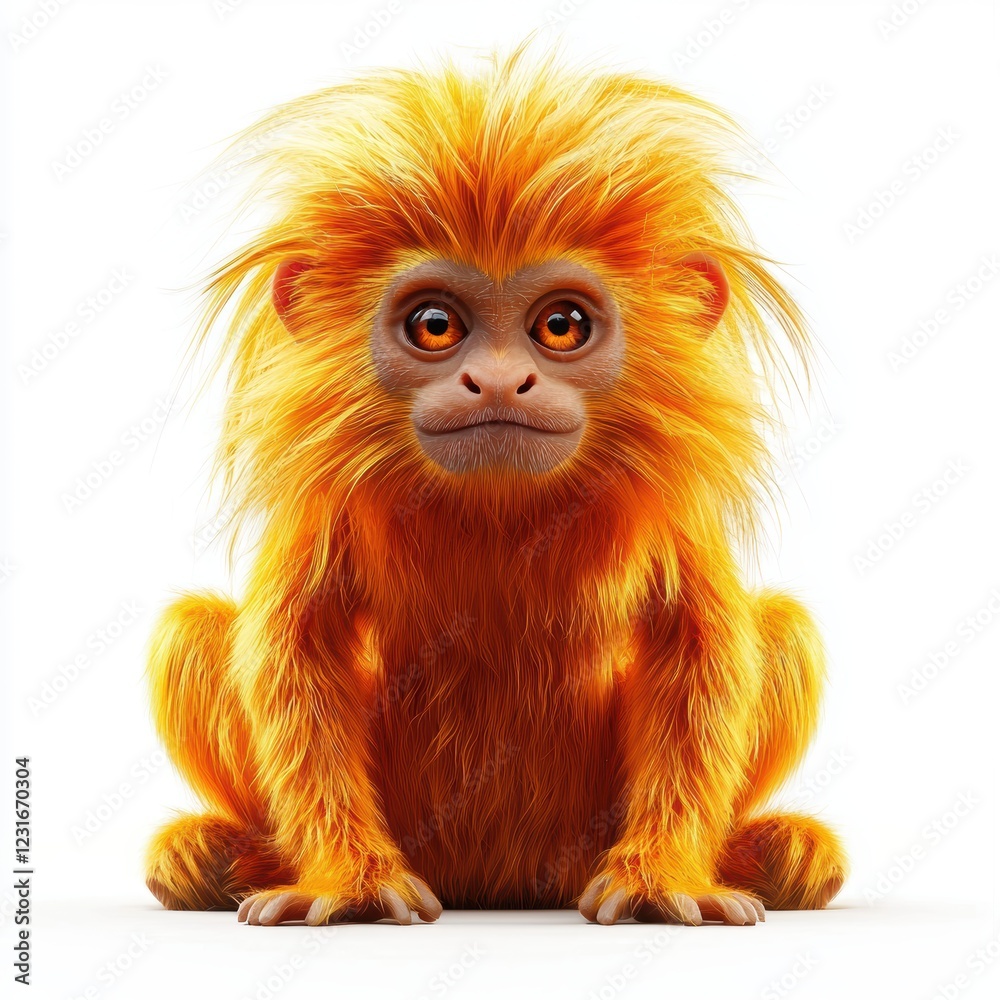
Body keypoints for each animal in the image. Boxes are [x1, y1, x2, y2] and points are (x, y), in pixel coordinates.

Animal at [144, 45, 847, 927]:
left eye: (561, 327)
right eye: (435, 326)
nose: (500, 381)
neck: (500, 511)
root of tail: (498, 882)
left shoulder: (672, 511)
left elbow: (701, 651)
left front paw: (666, 878)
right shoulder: (325, 510)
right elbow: (293, 654)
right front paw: (349, 880)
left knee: (782, 628)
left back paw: (772, 853)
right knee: (193, 632)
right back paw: (223, 854)